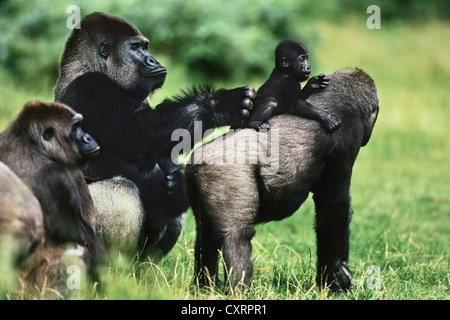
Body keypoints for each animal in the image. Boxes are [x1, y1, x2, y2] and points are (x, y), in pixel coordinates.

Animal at [54, 11, 255, 260]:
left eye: (145, 47)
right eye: (136, 47)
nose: (153, 60)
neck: (85, 68)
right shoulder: (91, 88)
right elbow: (138, 139)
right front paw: (220, 105)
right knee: (120, 190)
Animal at [185, 68, 380, 292]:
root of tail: (196, 160)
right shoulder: (346, 138)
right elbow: (333, 206)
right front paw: (335, 276)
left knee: (205, 235)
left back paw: (203, 287)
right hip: (225, 173)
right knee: (237, 236)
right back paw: (238, 291)